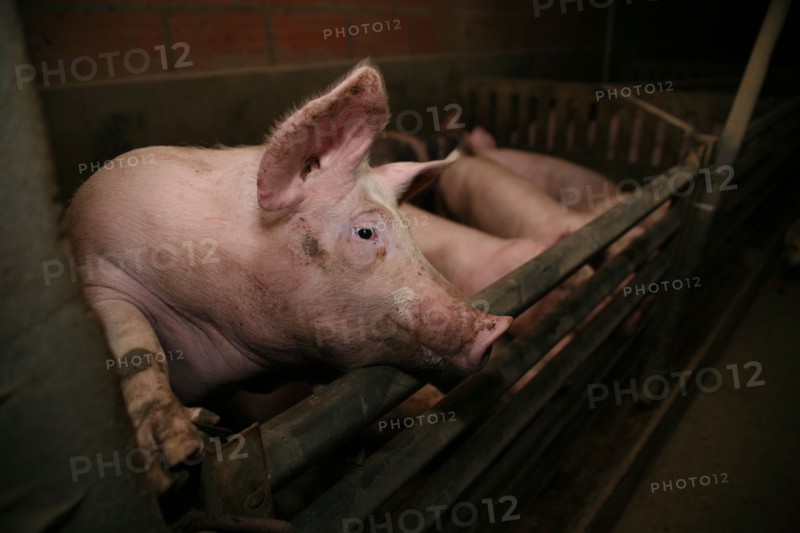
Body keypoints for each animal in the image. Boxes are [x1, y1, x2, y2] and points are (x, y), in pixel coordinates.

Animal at [66, 61, 512, 491]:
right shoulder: (100, 274)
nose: (497, 326)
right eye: (366, 232)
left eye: (409, 226)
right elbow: (137, 346)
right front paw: (181, 454)